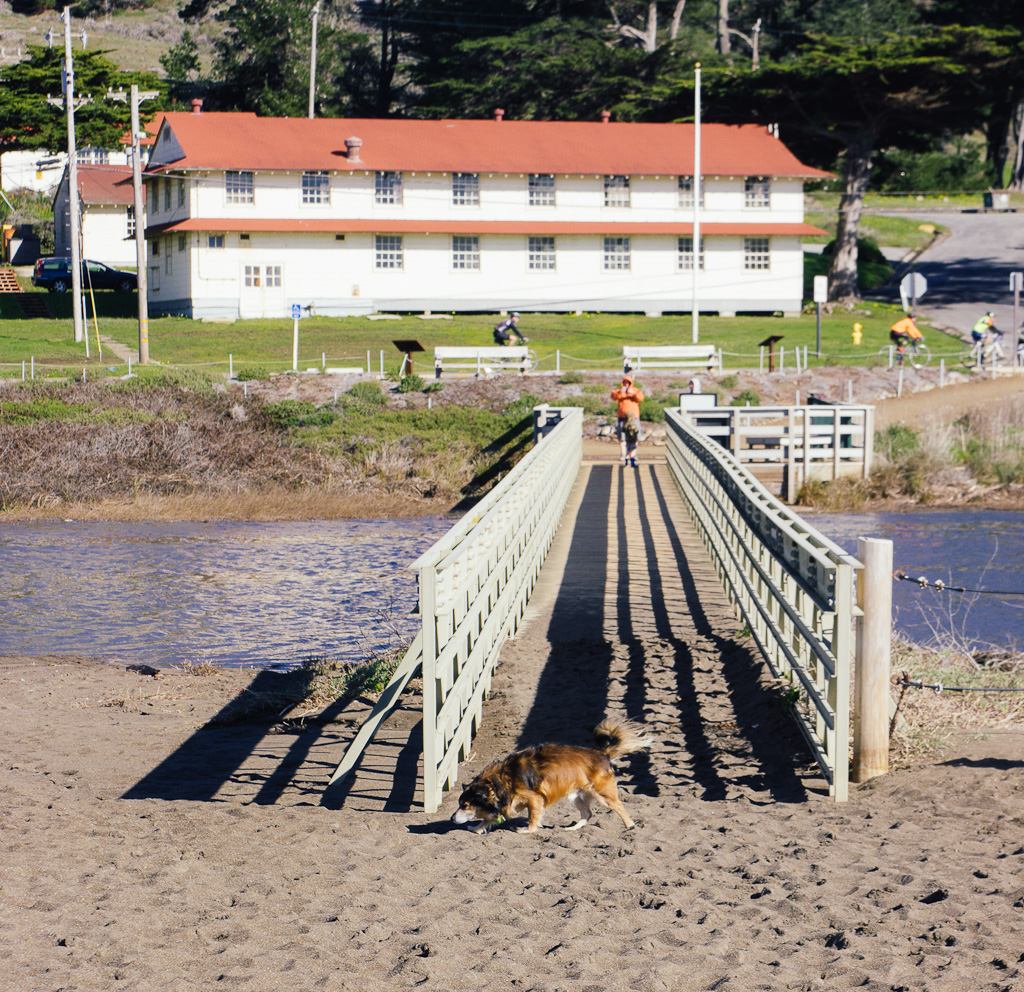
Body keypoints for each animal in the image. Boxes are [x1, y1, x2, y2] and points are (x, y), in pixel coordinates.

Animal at [452, 716, 651, 831]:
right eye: (460, 804)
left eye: (466, 805)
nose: (452, 818)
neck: (497, 782)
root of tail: (602, 753)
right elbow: (488, 819)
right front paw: (477, 827)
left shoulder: (534, 798)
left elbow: (532, 817)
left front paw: (528, 830)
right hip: (577, 796)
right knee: (587, 814)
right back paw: (572, 829)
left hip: (602, 794)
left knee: (618, 806)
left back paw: (630, 826)